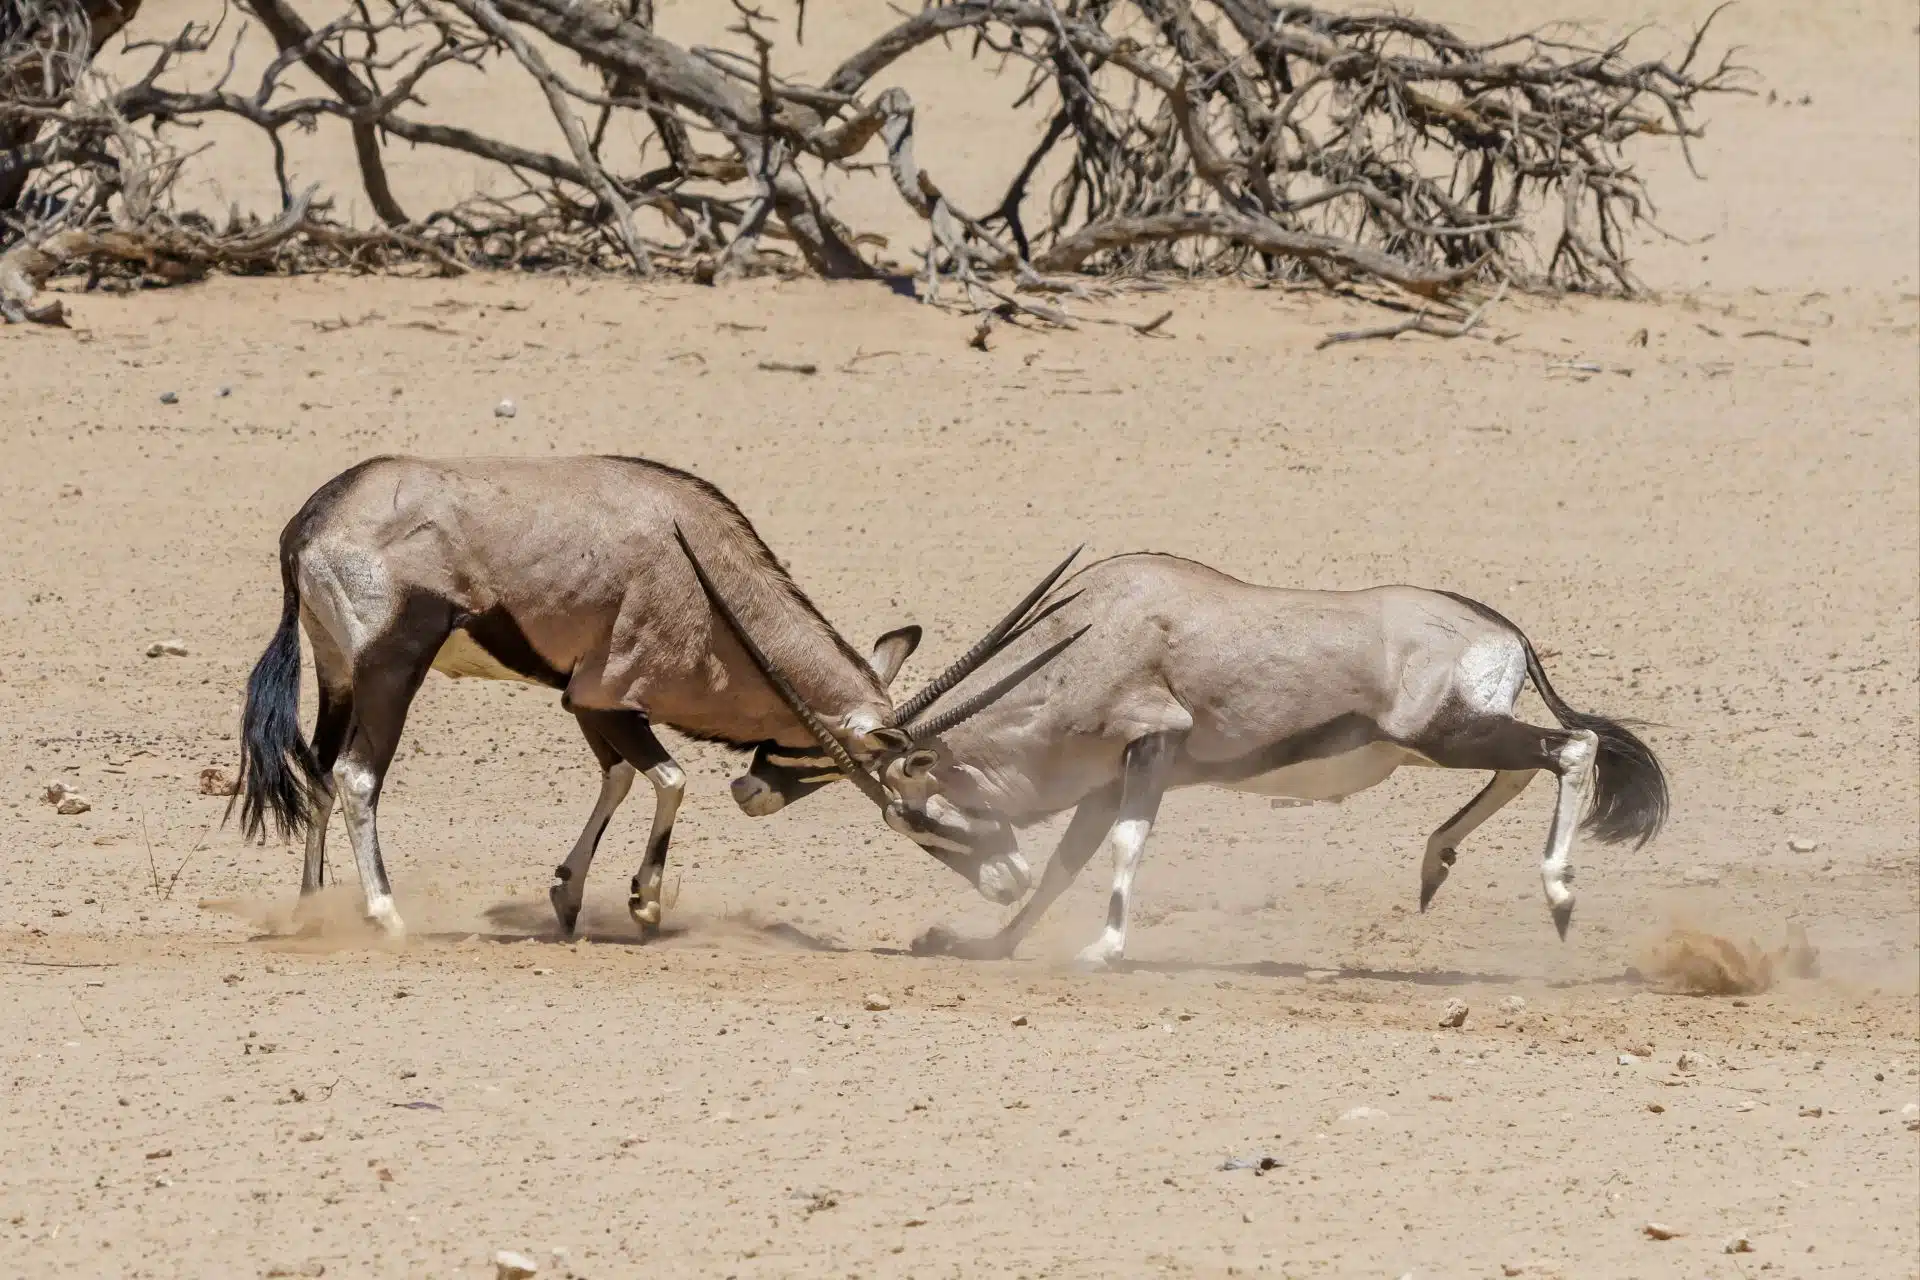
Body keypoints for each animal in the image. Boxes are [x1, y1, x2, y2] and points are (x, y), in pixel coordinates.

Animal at [230, 454, 1075, 942]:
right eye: (915, 797)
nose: (1011, 877)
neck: (705, 573)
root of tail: (311, 521)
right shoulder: (606, 693)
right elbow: (669, 778)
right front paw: (644, 903)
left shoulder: (593, 704)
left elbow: (621, 776)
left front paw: (569, 897)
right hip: (391, 669)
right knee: (356, 776)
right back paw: (384, 913)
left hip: (340, 671)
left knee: (318, 770)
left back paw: (312, 909)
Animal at [725, 551, 1670, 968]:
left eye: (918, 820)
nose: (999, 880)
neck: (1094, 637)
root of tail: (1502, 629)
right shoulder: (1106, 779)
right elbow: (1068, 861)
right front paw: (990, 943)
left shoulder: (1152, 749)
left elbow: (1124, 846)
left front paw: (1103, 948)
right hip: (1450, 740)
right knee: (1527, 764)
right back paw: (1438, 863)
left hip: (1444, 734)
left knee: (1570, 747)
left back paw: (1558, 894)